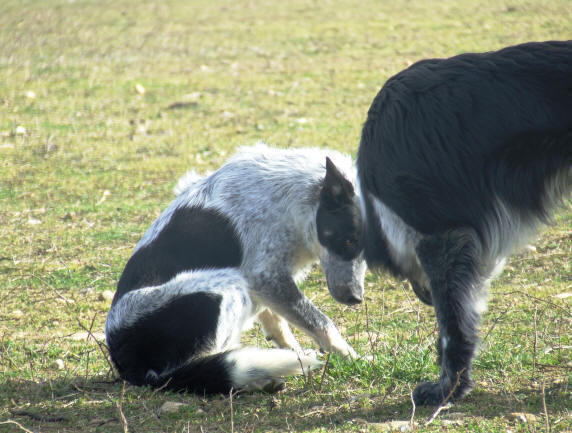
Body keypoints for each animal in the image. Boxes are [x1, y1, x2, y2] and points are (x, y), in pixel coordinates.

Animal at [105, 143, 366, 394]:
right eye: (349, 241)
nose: (356, 298)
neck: (298, 199)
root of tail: (131, 368)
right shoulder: (265, 277)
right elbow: (322, 323)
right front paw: (354, 358)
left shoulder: (266, 286)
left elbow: (278, 324)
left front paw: (296, 353)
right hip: (224, 287)